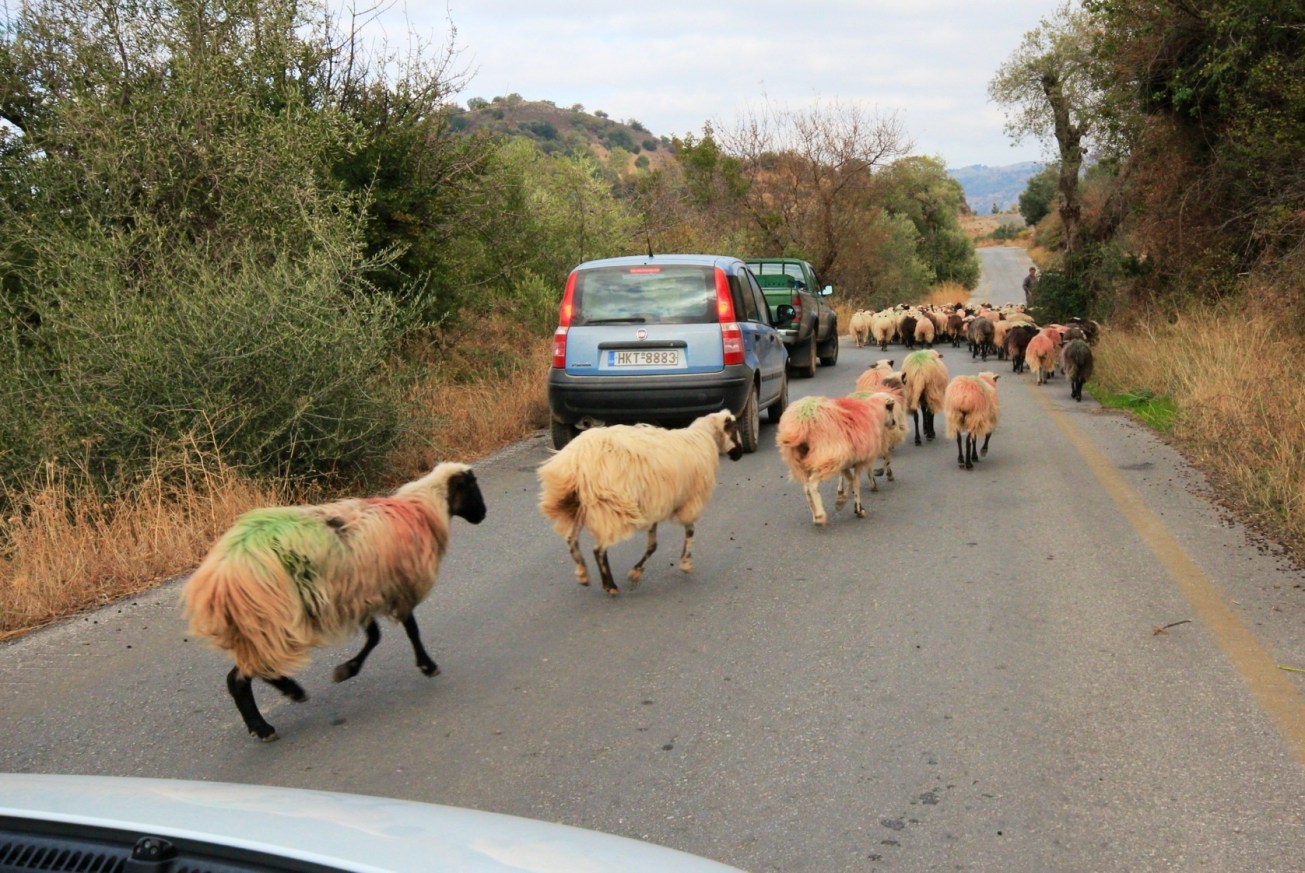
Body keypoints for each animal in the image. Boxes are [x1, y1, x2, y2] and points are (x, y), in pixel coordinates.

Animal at [181, 462, 488, 741]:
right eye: (473, 487)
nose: (483, 514)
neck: (422, 510)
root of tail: (220, 575)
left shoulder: (363, 593)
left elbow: (375, 636)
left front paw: (346, 670)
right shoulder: (394, 587)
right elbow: (409, 630)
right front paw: (427, 665)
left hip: (255, 623)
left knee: (242, 674)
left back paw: (275, 709)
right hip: (273, 619)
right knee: (245, 673)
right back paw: (277, 711)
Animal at [537, 410, 742, 596]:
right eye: (733, 429)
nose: (739, 454)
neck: (704, 439)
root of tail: (577, 462)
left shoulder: (657, 503)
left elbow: (653, 545)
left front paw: (638, 572)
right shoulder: (689, 500)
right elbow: (686, 533)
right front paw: (683, 563)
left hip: (576, 504)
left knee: (571, 540)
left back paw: (583, 574)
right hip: (609, 505)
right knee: (598, 549)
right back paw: (610, 586)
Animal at [777, 392, 897, 525]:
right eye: (890, 408)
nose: (894, 423)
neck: (874, 413)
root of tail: (802, 420)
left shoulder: (846, 463)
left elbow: (851, 481)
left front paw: (842, 501)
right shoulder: (859, 461)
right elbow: (856, 482)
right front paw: (857, 509)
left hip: (799, 462)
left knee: (806, 488)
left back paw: (815, 515)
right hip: (828, 456)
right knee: (812, 484)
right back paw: (820, 516)